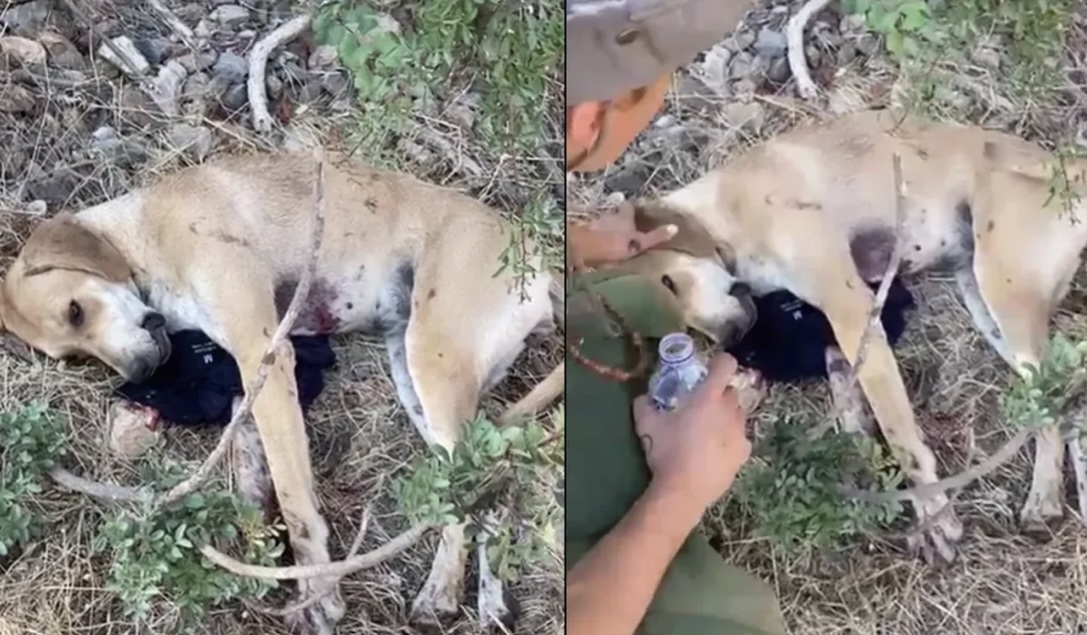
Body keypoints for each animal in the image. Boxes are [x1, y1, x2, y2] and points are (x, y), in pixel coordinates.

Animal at [0, 151, 565, 630]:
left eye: (76, 310)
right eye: (74, 356)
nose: (139, 373)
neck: (145, 232)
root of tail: (540, 261)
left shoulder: (264, 358)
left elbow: (295, 500)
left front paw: (319, 595)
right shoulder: (242, 388)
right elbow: (252, 486)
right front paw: (261, 565)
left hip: (433, 362)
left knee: (477, 484)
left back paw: (441, 592)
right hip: (418, 381)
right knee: (491, 487)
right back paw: (489, 600)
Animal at [617, 107, 1087, 561]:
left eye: (670, 283)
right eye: (680, 329)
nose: (732, 341)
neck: (726, 212)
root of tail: (1067, 166)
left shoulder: (851, 310)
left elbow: (901, 437)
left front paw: (932, 515)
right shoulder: (836, 329)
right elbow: (846, 395)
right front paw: (858, 444)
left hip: (1003, 293)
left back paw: (1043, 495)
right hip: (986, 305)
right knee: (1062, 409)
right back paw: (1052, 496)